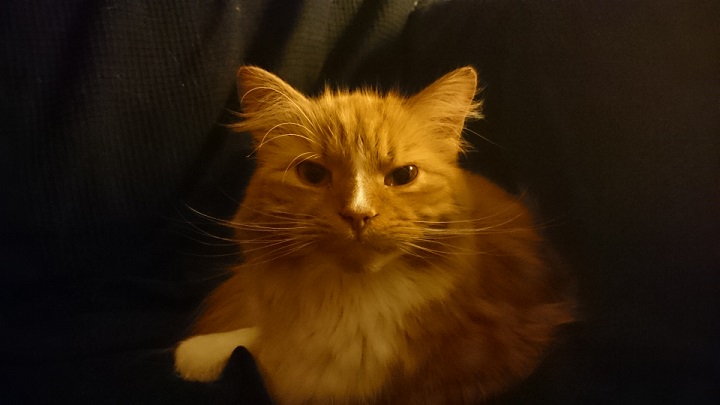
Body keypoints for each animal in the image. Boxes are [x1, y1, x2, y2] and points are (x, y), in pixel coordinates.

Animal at [174, 66, 572, 404]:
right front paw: (196, 354)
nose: (358, 214)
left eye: (403, 175)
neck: (352, 302)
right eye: (313, 174)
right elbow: (257, 341)